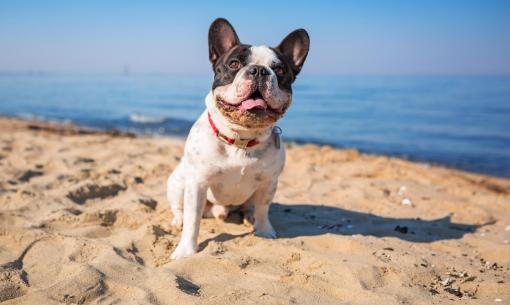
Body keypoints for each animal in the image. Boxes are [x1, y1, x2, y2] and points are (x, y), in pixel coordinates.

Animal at [168, 17, 310, 258]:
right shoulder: (197, 183)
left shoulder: (268, 183)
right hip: (178, 183)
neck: (241, 138)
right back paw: (178, 220)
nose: (259, 71)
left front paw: (264, 230)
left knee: (251, 206)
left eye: (280, 69)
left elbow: (263, 208)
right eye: (234, 64)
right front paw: (186, 250)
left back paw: (249, 216)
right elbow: (193, 219)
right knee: (180, 209)